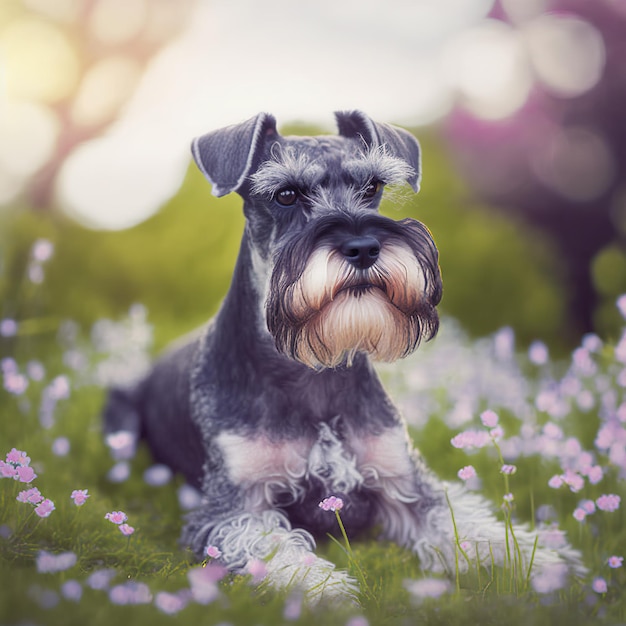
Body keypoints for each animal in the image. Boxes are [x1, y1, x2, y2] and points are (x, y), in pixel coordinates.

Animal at [100, 111, 584, 600]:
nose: (364, 248)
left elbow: (470, 525)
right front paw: (323, 590)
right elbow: (271, 546)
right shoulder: (234, 507)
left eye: (372, 186)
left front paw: (546, 565)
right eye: (286, 194)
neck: (314, 373)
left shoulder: (405, 482)